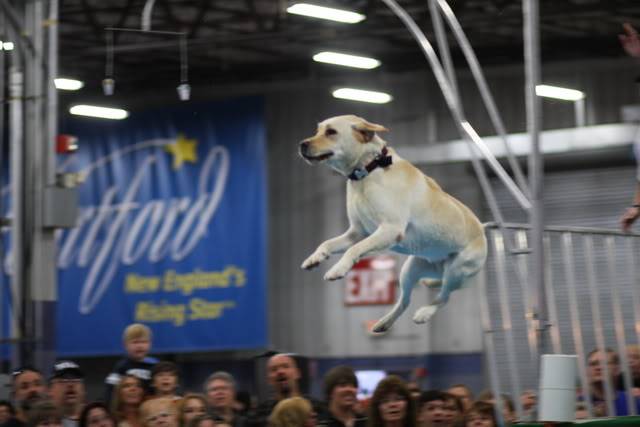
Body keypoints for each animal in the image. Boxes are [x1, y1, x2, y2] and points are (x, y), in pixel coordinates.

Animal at [298, 115, 484, 332]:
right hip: (410, 270)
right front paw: (315, 258)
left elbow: (354, 250)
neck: (368, 170)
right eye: (317, 131)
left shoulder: (389, 229)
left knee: (444, 296)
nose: (302, 144)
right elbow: (327, 243)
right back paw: (384, 323)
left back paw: (424, 313)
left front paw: (338, 269)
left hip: (456, 270)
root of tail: (483, 231)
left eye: (331, 132)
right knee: (405, 301)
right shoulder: (356, 232)